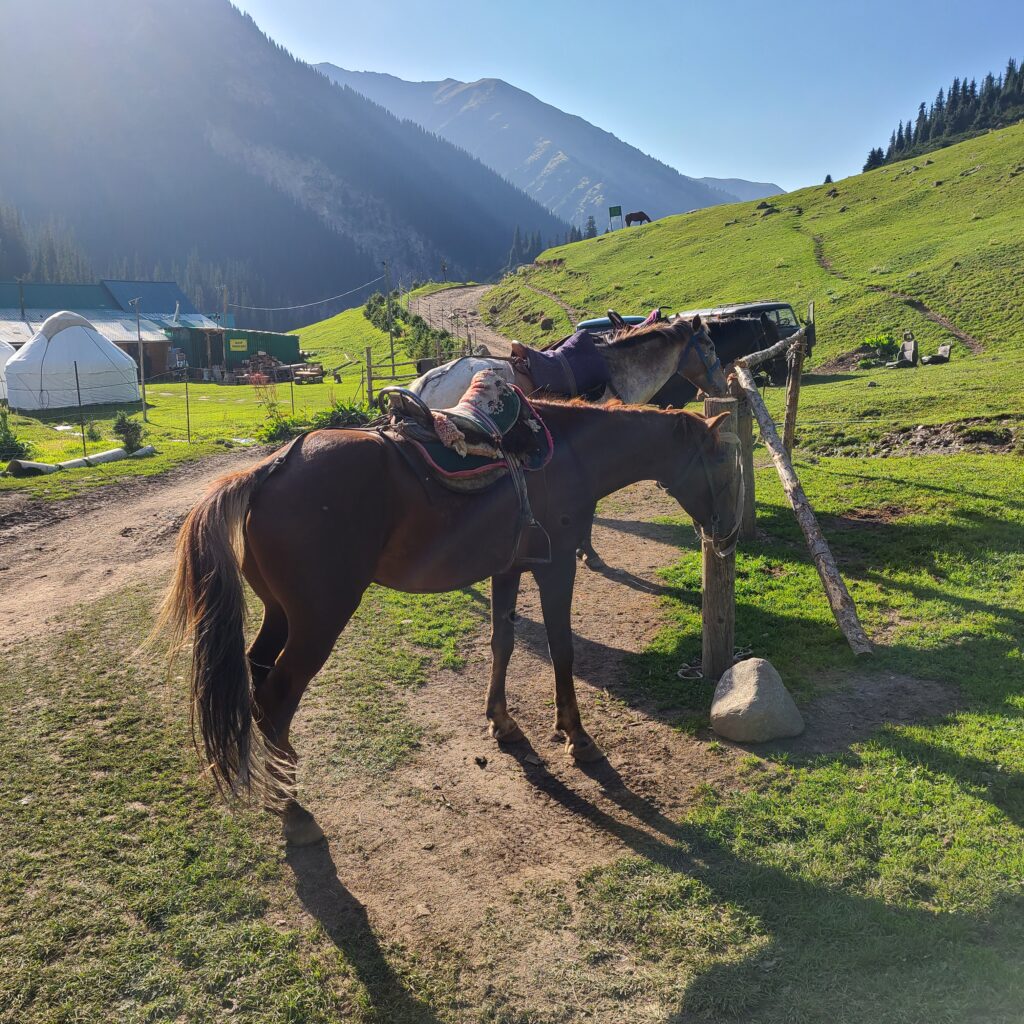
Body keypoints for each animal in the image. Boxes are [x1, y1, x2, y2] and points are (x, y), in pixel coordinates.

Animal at [160, 399, 742, 845]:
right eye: (723, 463)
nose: (729, 533)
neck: (569, 456)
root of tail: (269, 470)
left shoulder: (509, 569)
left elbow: (503, 642)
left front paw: (502, 722)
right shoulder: (555, 569)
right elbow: (561, 648)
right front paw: (576, 736)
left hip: (282, 614)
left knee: (257, 674)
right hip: (318, 622)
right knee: (276, 698)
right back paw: (293, 809)